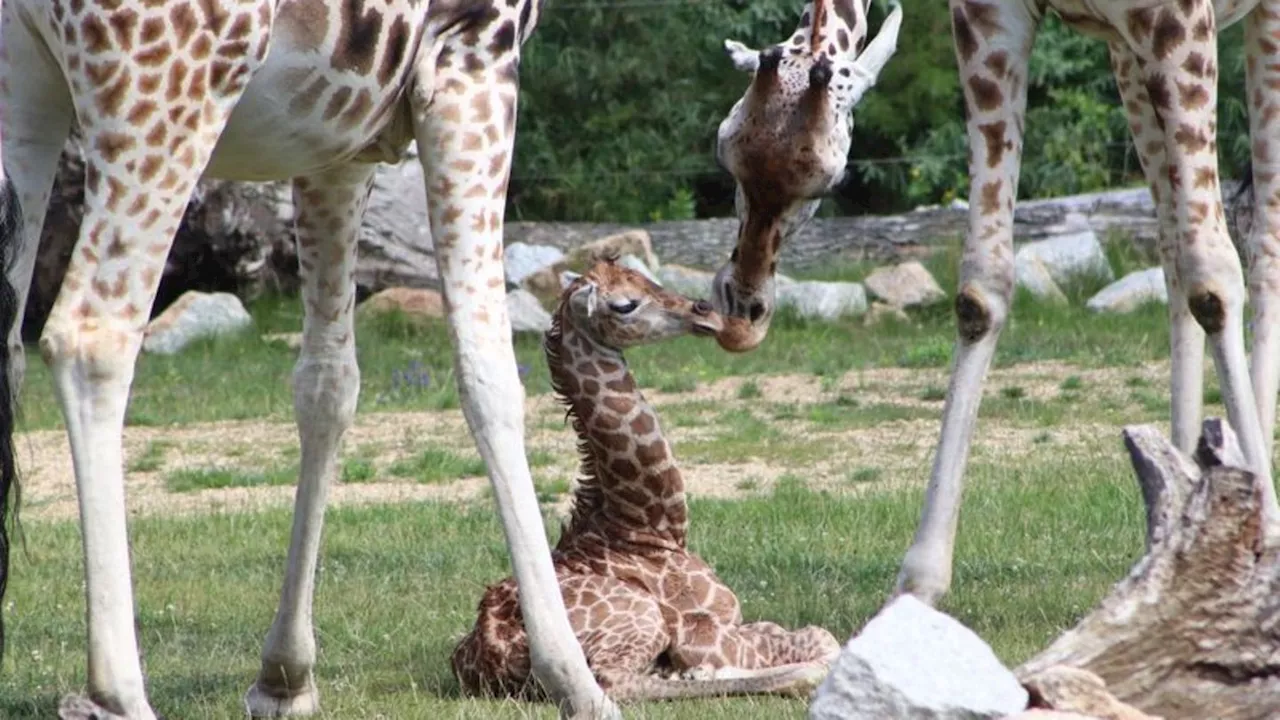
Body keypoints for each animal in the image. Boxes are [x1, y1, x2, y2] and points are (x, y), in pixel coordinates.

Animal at [0, 1, 619, 717]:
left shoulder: (340, 132)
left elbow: (327, 383)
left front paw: (285, 676)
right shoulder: (475, 55)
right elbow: (487, 369)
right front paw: (574, 678)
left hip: (31, 90)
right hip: (169, 79)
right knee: (91, 335)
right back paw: (121, 693)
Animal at [450, 257, 839, 702]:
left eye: (647, 278)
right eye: (624, 305)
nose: (705, 311)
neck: (647, 527)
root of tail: (492, 654)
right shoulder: (702, 632)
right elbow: (822, 638)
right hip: (641, 618)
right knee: (614, 681)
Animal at [716, 0, 1280, 604]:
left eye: (828, 180)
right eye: (725, 150)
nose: (743, 308)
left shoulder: (1178, 22)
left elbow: (1213, 277)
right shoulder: (993, 22)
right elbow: (981, 289)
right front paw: (918, 583)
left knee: (1259, 239)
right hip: (1126, 55)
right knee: (1175, 245)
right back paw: (1176, 515)